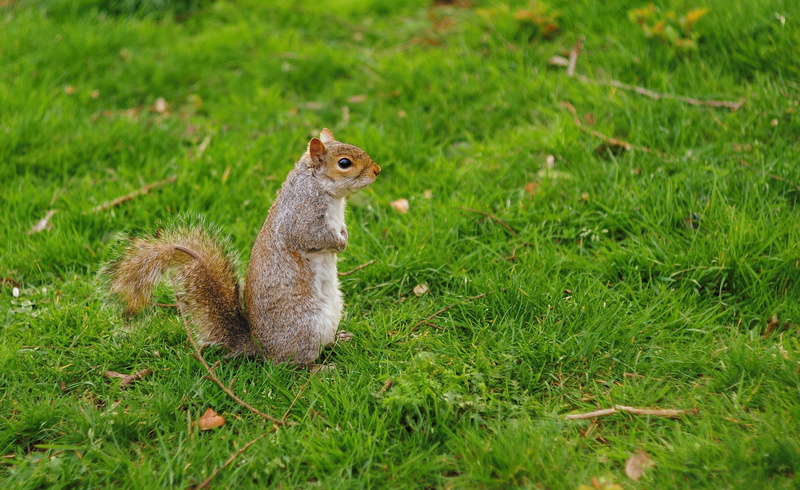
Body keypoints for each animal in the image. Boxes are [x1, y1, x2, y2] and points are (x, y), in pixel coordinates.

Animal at [104, 128, 380, 365]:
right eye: (344, 163)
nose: (377, 170)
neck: (318, 186)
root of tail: (260, 346)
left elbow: (340, 229)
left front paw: (345, 236)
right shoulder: (302, 217)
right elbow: (314, 238)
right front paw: (340, 244)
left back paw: (340, 339)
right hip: (307, 326)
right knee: (293, 364)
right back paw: (320, 368)